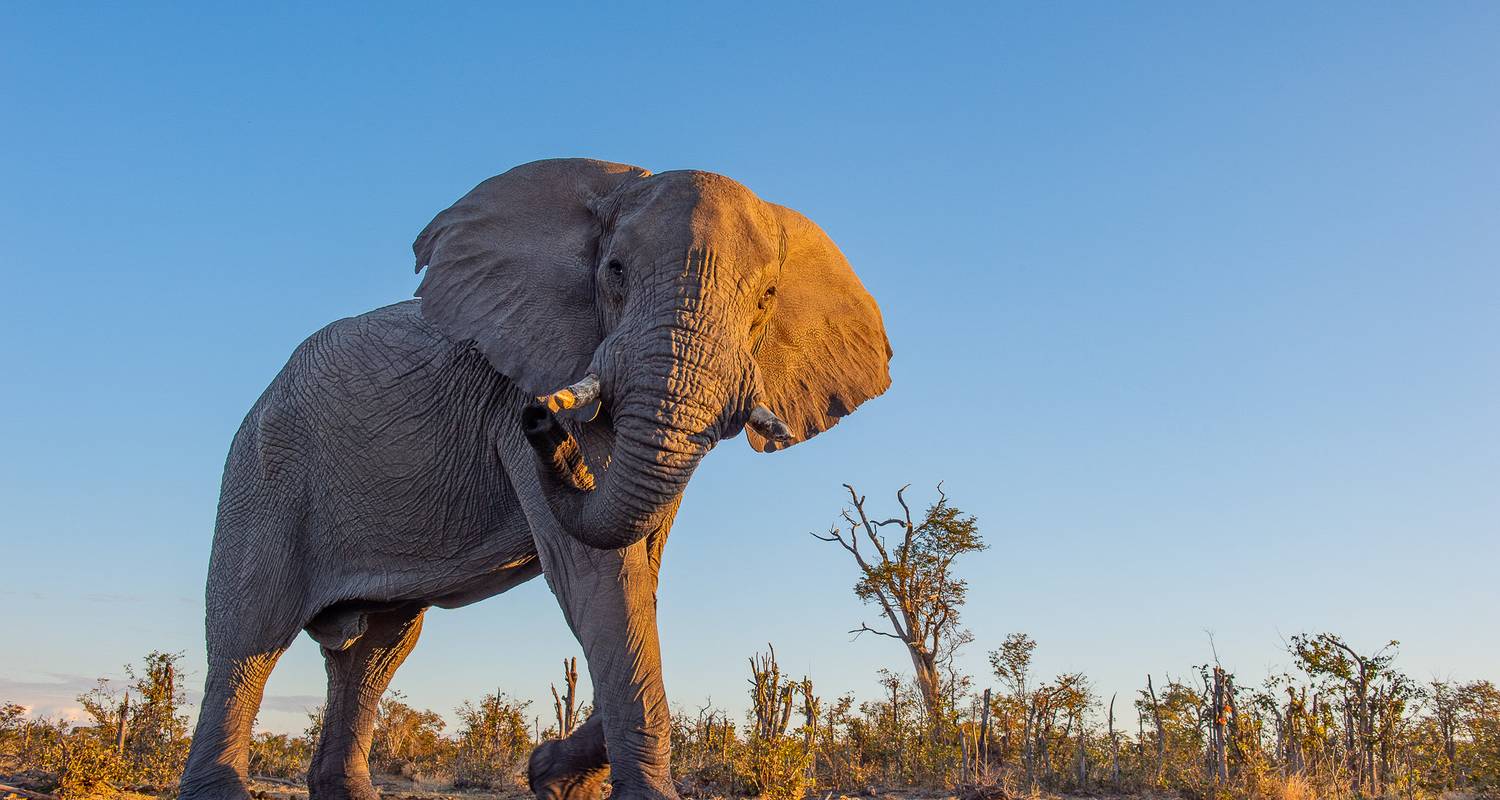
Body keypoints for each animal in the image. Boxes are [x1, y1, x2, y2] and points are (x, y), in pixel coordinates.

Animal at [181, 157, 894, 798]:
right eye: (614, 272)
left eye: (767, 298)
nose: (542, 419)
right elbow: (597, 573)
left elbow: (639, 576)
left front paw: (551, 776)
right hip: (262, 472)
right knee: (249, 639)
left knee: (376, 651)